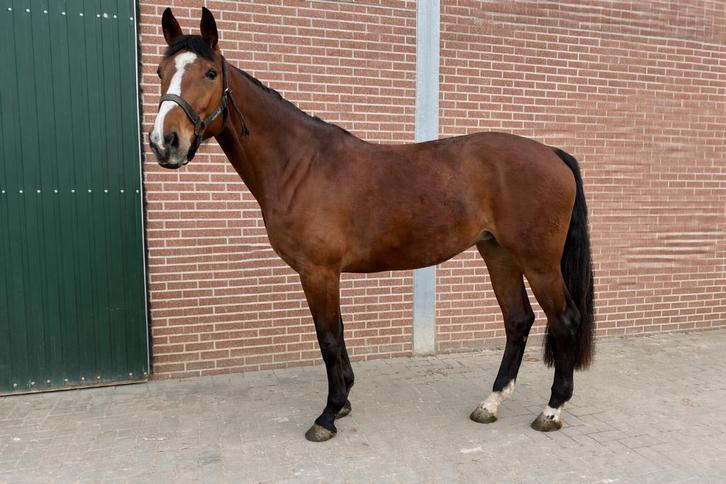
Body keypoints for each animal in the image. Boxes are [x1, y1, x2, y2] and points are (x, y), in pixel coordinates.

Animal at [149, 8, 594, 442]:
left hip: (538, 262)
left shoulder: (318, 271)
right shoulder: (324, 274)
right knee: (518, 320)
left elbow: (328, 337)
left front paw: (328, 414)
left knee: (565, 319)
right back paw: (491, 403)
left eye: (210, 73)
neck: (299, 165)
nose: (164, 142)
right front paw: (344, 398)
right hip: (498, 253)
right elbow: (339, 332)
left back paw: (552, 409)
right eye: (160, 70)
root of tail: (552, 153)